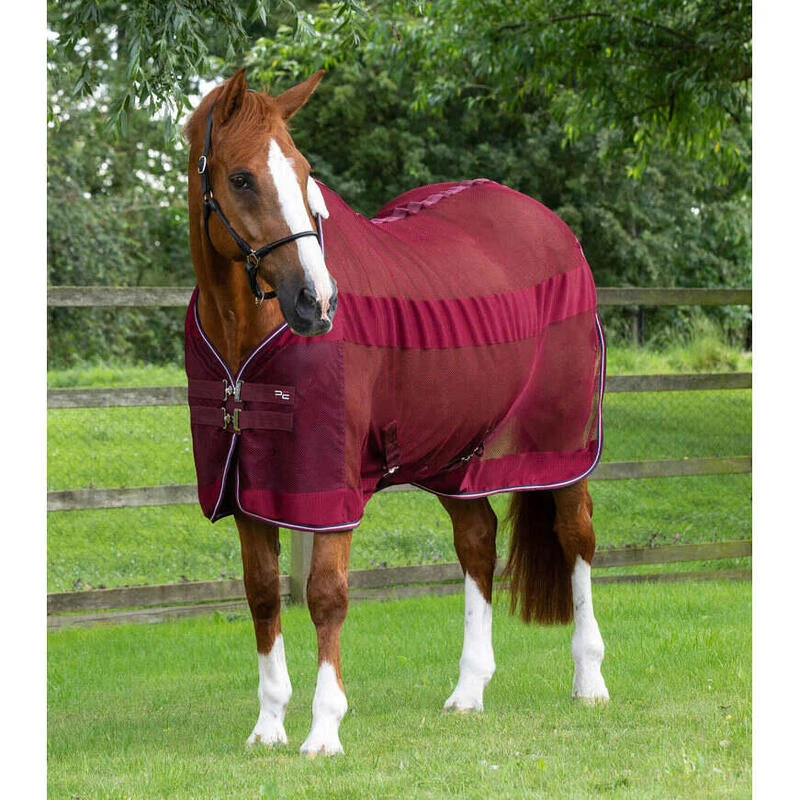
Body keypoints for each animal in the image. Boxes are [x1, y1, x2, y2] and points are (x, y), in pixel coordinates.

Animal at [183, 68, 609, 756]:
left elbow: (326, 596)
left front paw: (323, 731)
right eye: (241, 178)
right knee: (477, 543)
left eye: (303, 172)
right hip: (461, 457)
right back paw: (468, 692)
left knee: (577, 540)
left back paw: (590, 681)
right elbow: (262, 595)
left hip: (562, 449)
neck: (246, 337)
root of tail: (555, 230)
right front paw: (268, 727)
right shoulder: (249, 486)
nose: (317, 301)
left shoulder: (326, 486)